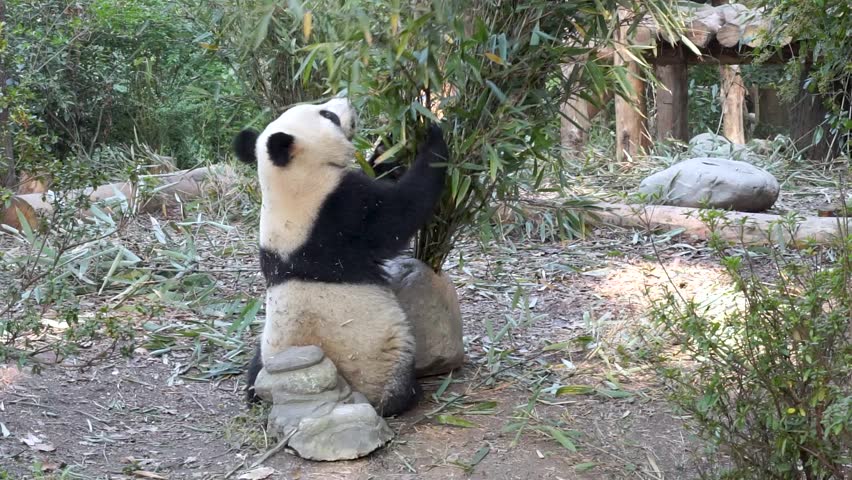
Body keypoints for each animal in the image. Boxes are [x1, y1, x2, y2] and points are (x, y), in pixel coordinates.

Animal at [233, 98, 448, 416]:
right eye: (328, 115)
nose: (346, 100)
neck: (286, 182)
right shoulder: (337, 210)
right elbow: (399, 213)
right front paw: (434, 134)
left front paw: (393, 139)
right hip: (383, 363)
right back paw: (409, 395)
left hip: (266, 354)